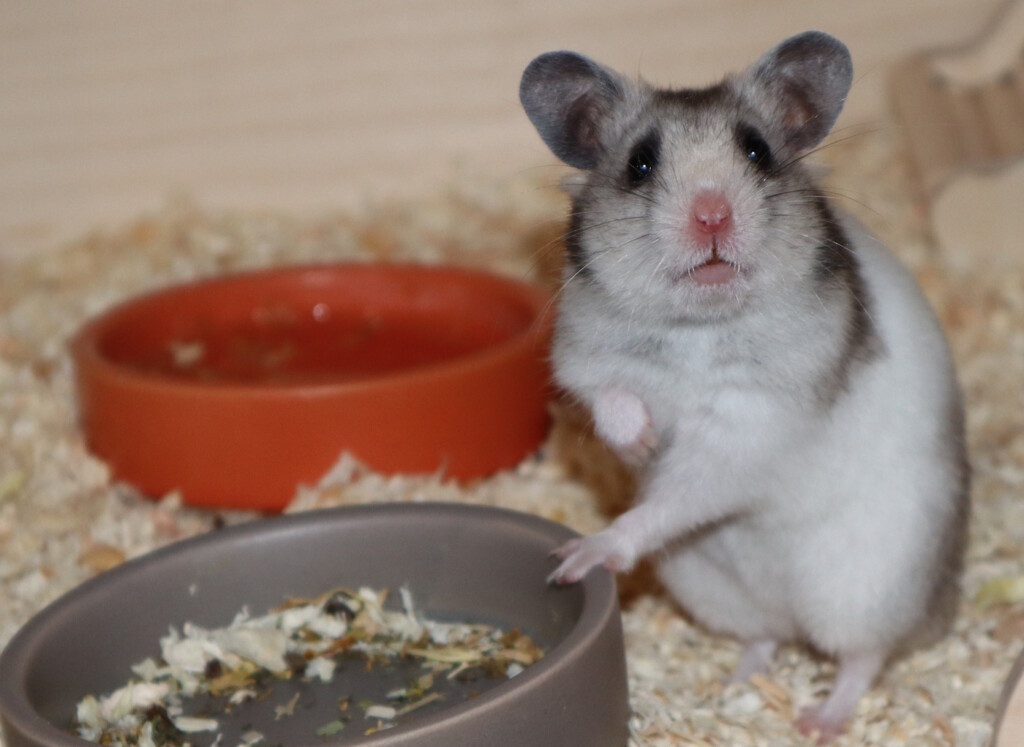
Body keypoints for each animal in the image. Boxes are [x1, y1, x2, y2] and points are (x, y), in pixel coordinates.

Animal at [519, 31, 969, 741]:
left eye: (757, 149)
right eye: (640, 164)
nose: (712, 217)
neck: (699, 330)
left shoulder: (751, 426)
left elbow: (680, 493)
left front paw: (580, 556)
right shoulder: (585, 358)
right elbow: (612, 399)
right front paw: (642, 443)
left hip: (866, 585)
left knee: (861, 658)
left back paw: (819, 720)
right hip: (707, 583)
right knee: (765, 636)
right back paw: (734, 686)